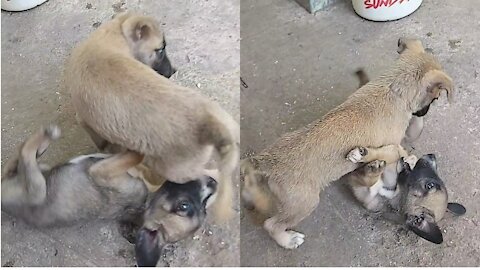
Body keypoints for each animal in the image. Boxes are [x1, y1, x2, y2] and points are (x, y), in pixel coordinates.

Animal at [63, 12, 240, 221]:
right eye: (160, 50)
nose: (172, 72)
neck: (112, 36)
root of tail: (209, 122)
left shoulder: (85, 120)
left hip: (176, 170)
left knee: (210, 174)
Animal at [240, 38, 454, 249]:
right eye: (435, 97)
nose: (423, 112)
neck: (394, 88)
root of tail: (266, 161)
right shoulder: (392, 143)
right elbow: (392, 151)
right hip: (303, 203)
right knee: (271, 225)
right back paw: (288, 240)